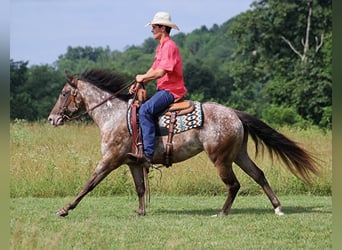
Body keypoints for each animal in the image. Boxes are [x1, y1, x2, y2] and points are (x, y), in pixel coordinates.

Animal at [46, 68, 320, 217]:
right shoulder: (132, 163)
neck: (113, 115)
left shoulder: (110, 159)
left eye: (63, 93)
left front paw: (65, 209)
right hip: (238, 155)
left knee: (234, 185)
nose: (51, 118)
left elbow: (89, 184)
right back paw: (277, 207)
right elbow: (140, 188)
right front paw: (141, 211)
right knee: (259, 175)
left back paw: (222, 212)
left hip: (220, 159)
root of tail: (234, 113)